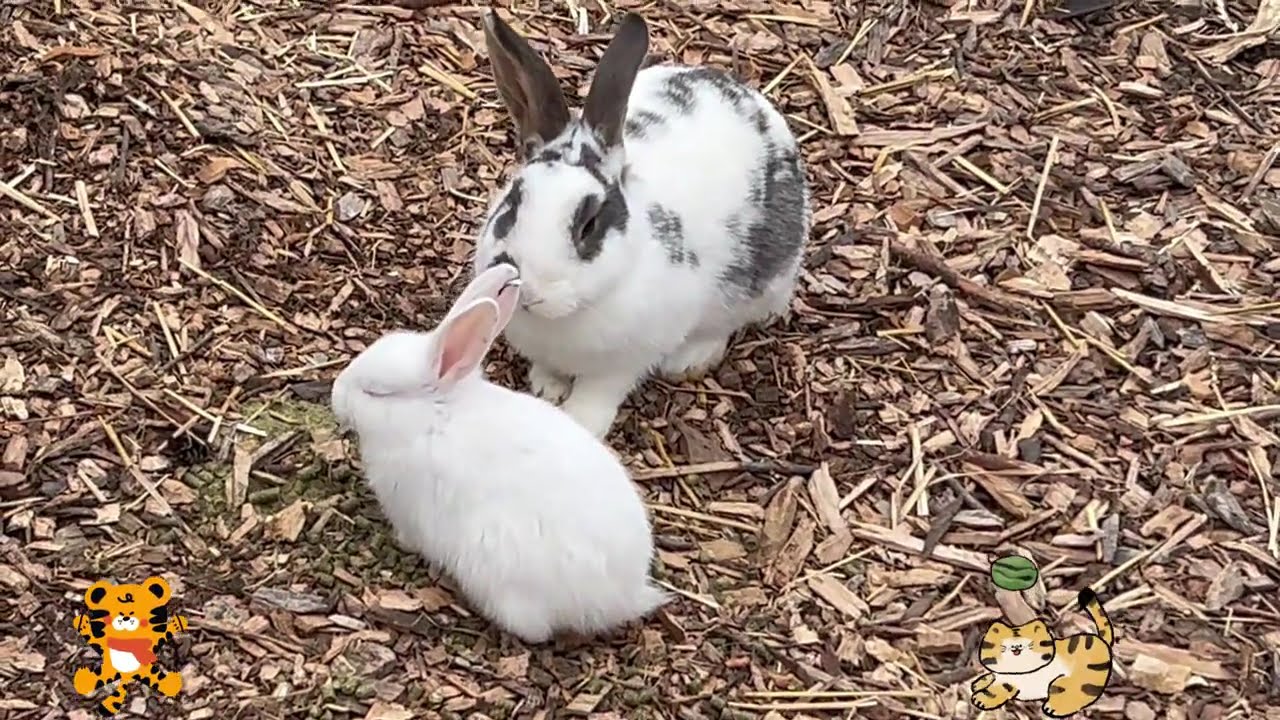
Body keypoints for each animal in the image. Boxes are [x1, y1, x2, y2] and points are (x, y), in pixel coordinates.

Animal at [970, 588, 1115, 718]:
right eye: (1003, 647)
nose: (1016, 648)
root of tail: (1100, 640)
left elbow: (995, 691)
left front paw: (981, 698)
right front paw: (981, 682)